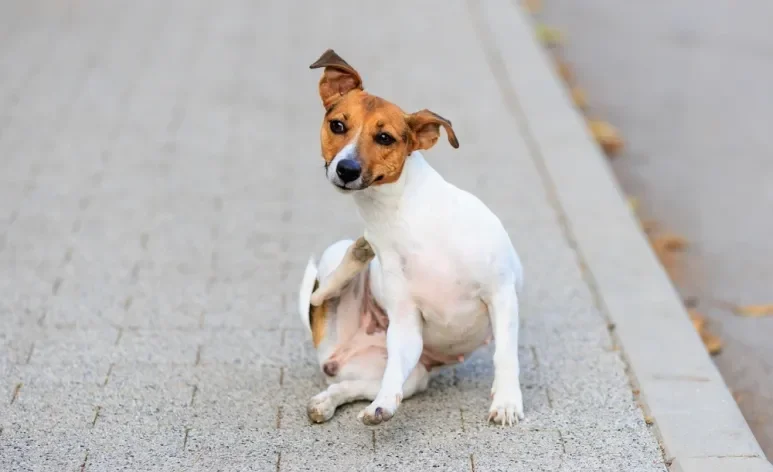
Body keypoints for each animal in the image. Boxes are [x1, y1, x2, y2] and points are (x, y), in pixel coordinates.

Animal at [296, 49, 524, 426]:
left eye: (385, 138)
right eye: (337, 126)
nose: (346, 169)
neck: (400, 215)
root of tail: (337, 355)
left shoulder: (501, 294)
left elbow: (505, 355)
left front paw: (506, 402)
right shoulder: (404, 325)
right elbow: (391, 380)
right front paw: (383, 406)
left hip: (414, 375)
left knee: (353, 384)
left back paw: (327, 401)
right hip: (336, 261)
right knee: (319, 295)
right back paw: (358, 255)